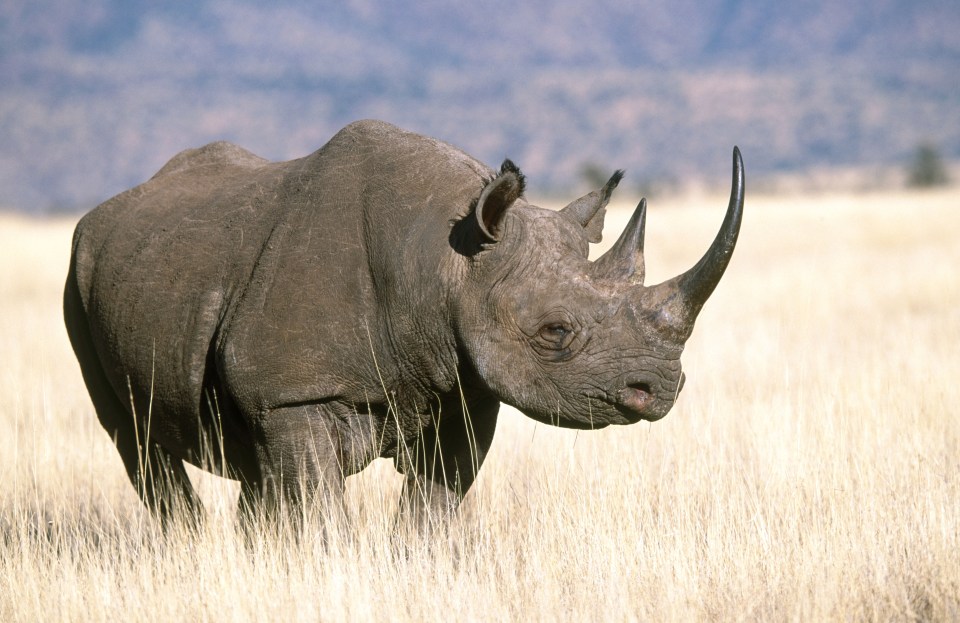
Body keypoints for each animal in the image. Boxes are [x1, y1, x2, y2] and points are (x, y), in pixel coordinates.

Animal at [63, 119, 748, 524]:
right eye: (554, 332)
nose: (660, 388)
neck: (445, 264)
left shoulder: (462, 386)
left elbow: (431, 510)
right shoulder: (291, 392)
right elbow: (318, 508)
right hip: (79, 274)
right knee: (138, 445)